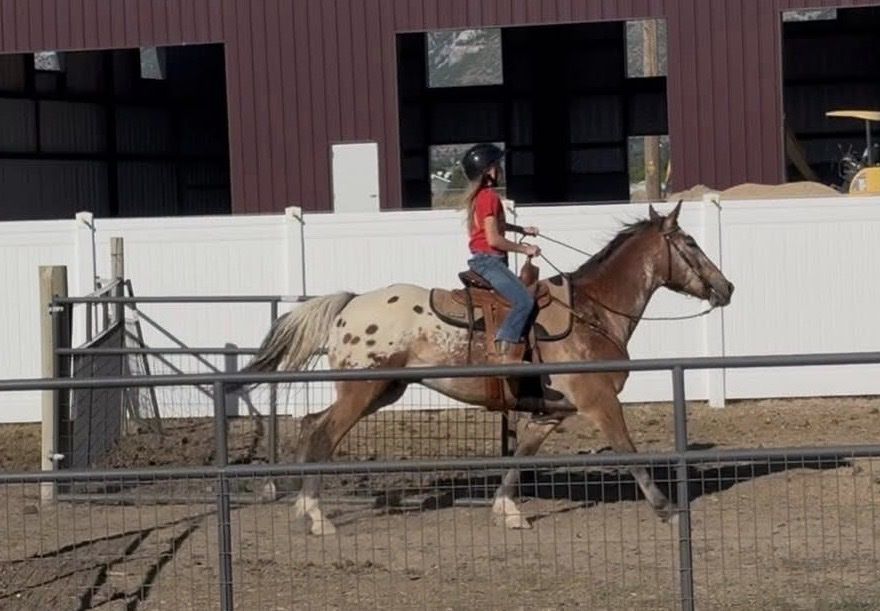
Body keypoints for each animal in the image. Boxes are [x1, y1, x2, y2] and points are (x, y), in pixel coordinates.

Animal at [242, 203, 734, 535]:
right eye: (691, 243)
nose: (727, 287)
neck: (592, 311)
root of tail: (350, 303)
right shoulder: (598, 400)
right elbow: (628, 450)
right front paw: (665, 508)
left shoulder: (552, 412)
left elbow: (521, 457)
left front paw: (507, 510)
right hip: (363, 390)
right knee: (325, 434)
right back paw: (318, 516)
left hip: (382, 390)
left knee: (312, 424)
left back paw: (303, 507)